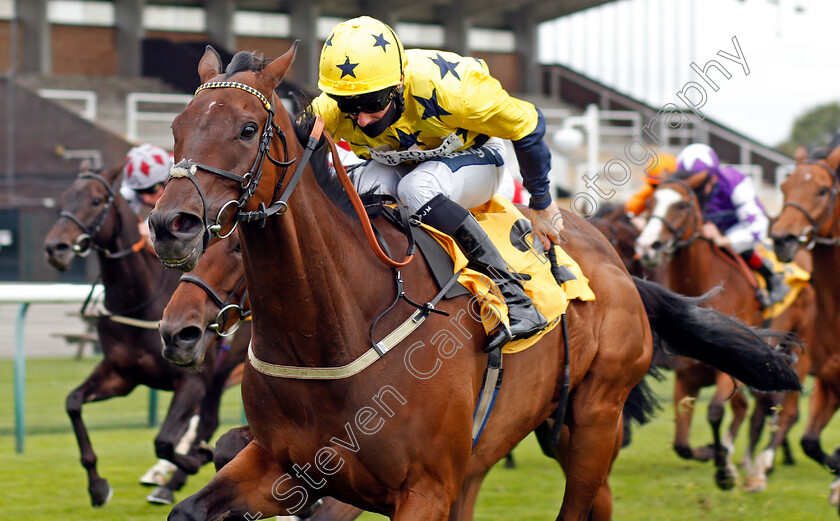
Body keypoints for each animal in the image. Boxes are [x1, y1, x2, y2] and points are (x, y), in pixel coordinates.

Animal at [42, 162, 241, 504]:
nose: (56, 248)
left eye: (96, 200)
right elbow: (73, 402)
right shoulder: (121, 376)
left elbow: (164, 440)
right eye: (66, 197)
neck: (138, 301)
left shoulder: (192, 382)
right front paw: (97, 485)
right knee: (209, 421)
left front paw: (192, 461)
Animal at [636, 169, 812, 490]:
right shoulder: (686, 374)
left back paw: (759, 469)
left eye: (681, 205)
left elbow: (717, 412)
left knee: (787, 412)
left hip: (798, 352)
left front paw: (723, 468)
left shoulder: (729, 373)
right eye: (651, 202)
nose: (647, 246)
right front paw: (712, 454)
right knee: (758, 411)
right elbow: (681, 443)